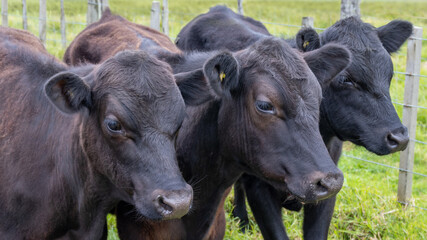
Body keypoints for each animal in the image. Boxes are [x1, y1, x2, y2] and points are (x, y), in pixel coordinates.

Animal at [176, 5, 412, 240]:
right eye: (345, 79)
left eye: (390, 74)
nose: (399, 137)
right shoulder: (258, 188)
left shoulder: (329, 187)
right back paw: (241, 218)